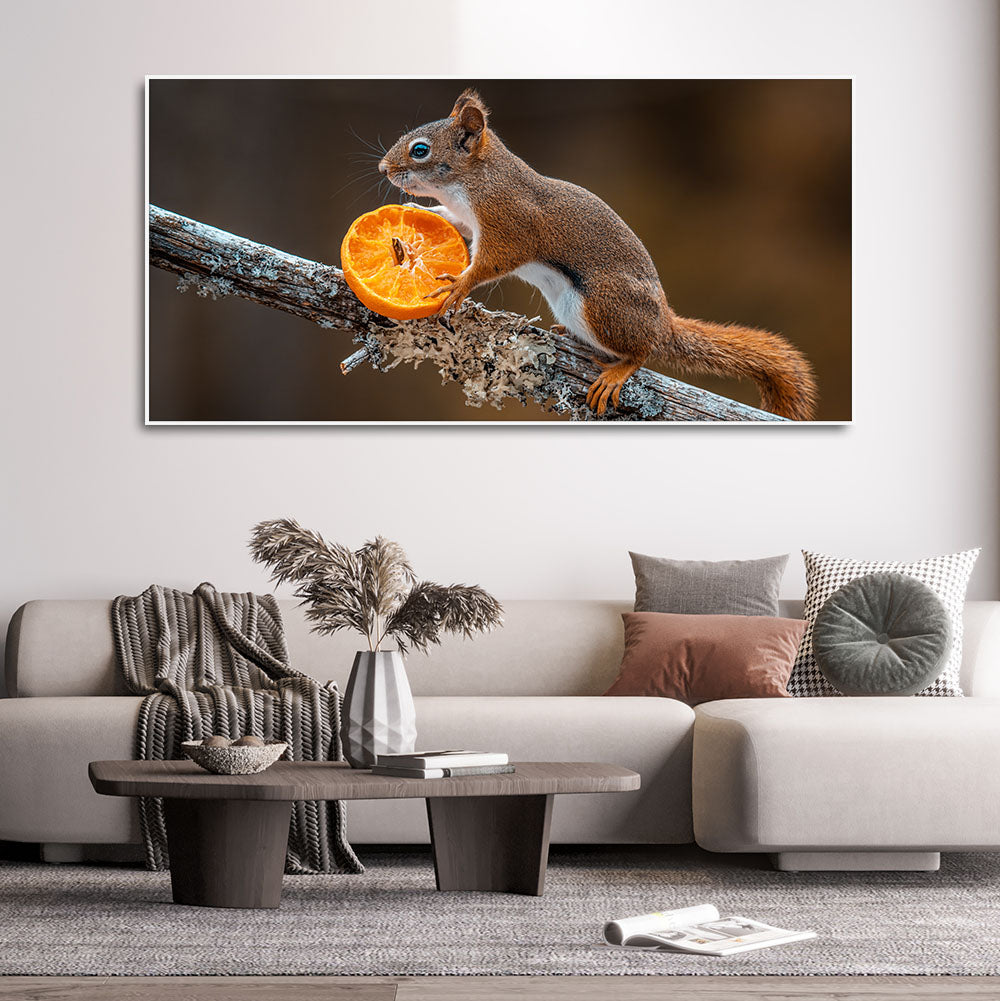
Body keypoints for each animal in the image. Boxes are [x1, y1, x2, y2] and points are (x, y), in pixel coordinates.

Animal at [378, 89, 817, 420]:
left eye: (420, 150)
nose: (383, 168)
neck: (477, 181)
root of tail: (663, 323)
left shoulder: (510, 225)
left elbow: (492, 262)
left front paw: (459, 284)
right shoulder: (471, 219)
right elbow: (454, 222)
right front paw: (422, 213)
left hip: (604, 306)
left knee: (642, 351)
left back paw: (619, 371)